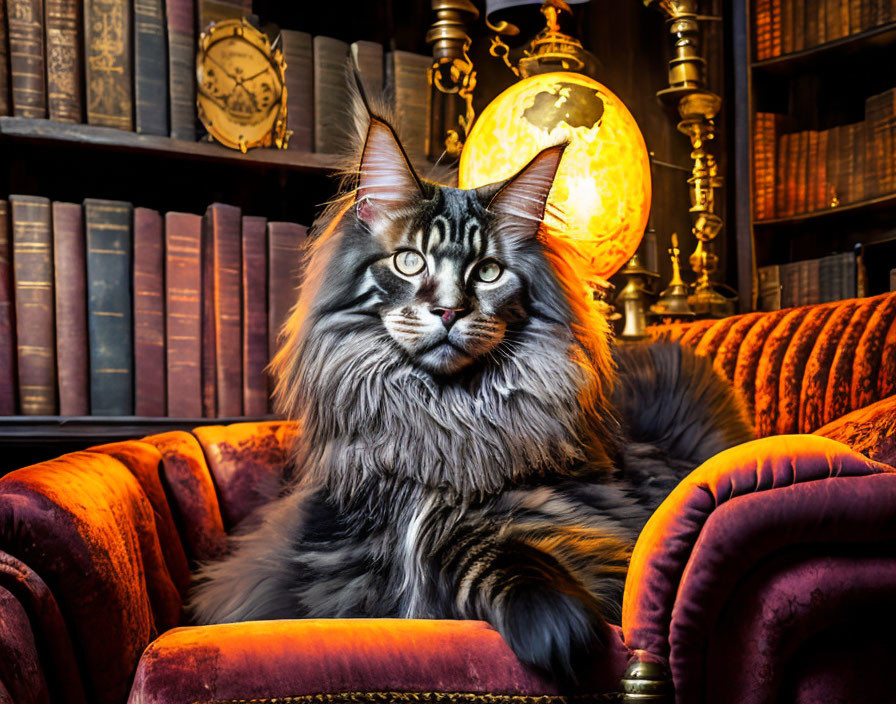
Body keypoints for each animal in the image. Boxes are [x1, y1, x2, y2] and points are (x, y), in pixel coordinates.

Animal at [192, 96, 752, 684]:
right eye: (409, 261)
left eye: (488, 272)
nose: (449, 310)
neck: (442, 415)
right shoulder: (333, 539)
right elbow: (426, 549)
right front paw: (558, 628)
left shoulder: (573, 513)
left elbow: (466, 541)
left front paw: (558, 626)